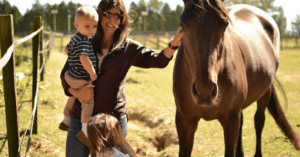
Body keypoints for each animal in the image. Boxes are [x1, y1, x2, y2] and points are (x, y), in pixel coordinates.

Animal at [172, 0, 300, 156]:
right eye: (182, 24)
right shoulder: (184, 120)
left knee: (259, 120)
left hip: (264, 92)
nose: (204, 91)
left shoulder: (231, 119)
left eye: (224, 25)